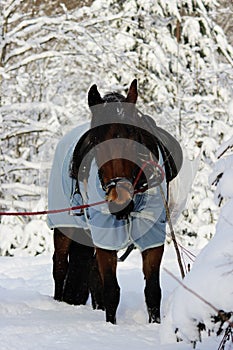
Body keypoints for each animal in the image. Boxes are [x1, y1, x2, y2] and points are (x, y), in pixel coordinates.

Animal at [69, 78, 184, 322]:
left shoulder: (152, 236)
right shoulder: (105, 238)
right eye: (96, 140)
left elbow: (152, 291)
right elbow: (111, 290)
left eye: (132, 136)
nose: (119, 199)